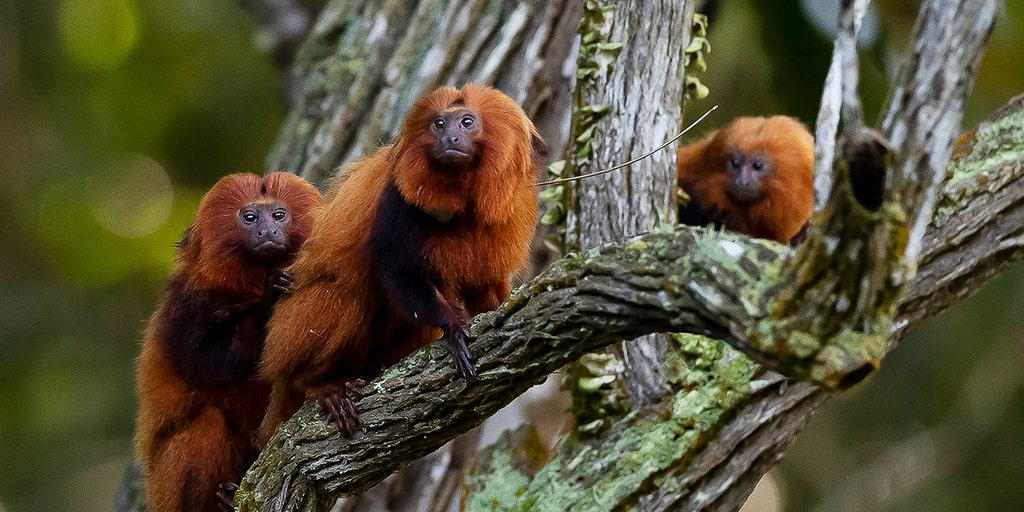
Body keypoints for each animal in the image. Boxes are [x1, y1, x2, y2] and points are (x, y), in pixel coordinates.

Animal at [134, 172, 321, 512]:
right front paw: (268, 301)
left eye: (278, 215)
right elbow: (209, 365)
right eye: (250, 218)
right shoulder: (187, 302)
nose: (267, 231)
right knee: (207, 423)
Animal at [257, 84, 543, 441]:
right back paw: (316, 384)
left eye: (466, 122)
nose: (449, 138)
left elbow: (484, 284)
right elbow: (396, 267)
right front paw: (454, 327)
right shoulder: (398, 195)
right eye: (438, 124)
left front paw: (494, 309)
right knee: (348, 293)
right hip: (289, 335)